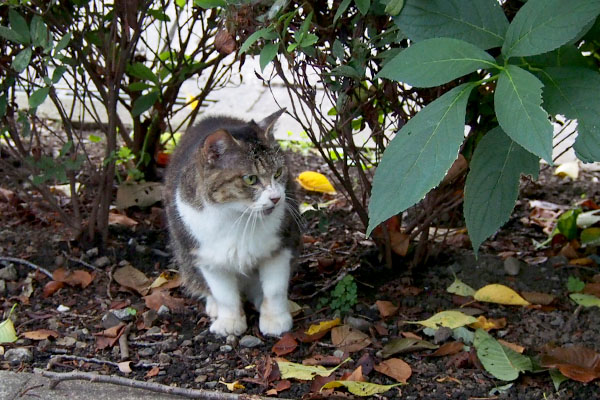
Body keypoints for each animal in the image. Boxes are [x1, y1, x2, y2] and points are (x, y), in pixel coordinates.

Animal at [164, 110, 300, 338]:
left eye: (278, 172)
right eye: (250, 179)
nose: (276, 198)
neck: (238, 216)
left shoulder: (281, 245)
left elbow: (275, 289)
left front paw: (276, 319)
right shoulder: (207, 256)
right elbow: (224, 295)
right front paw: (230, 321)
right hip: (184, 255)